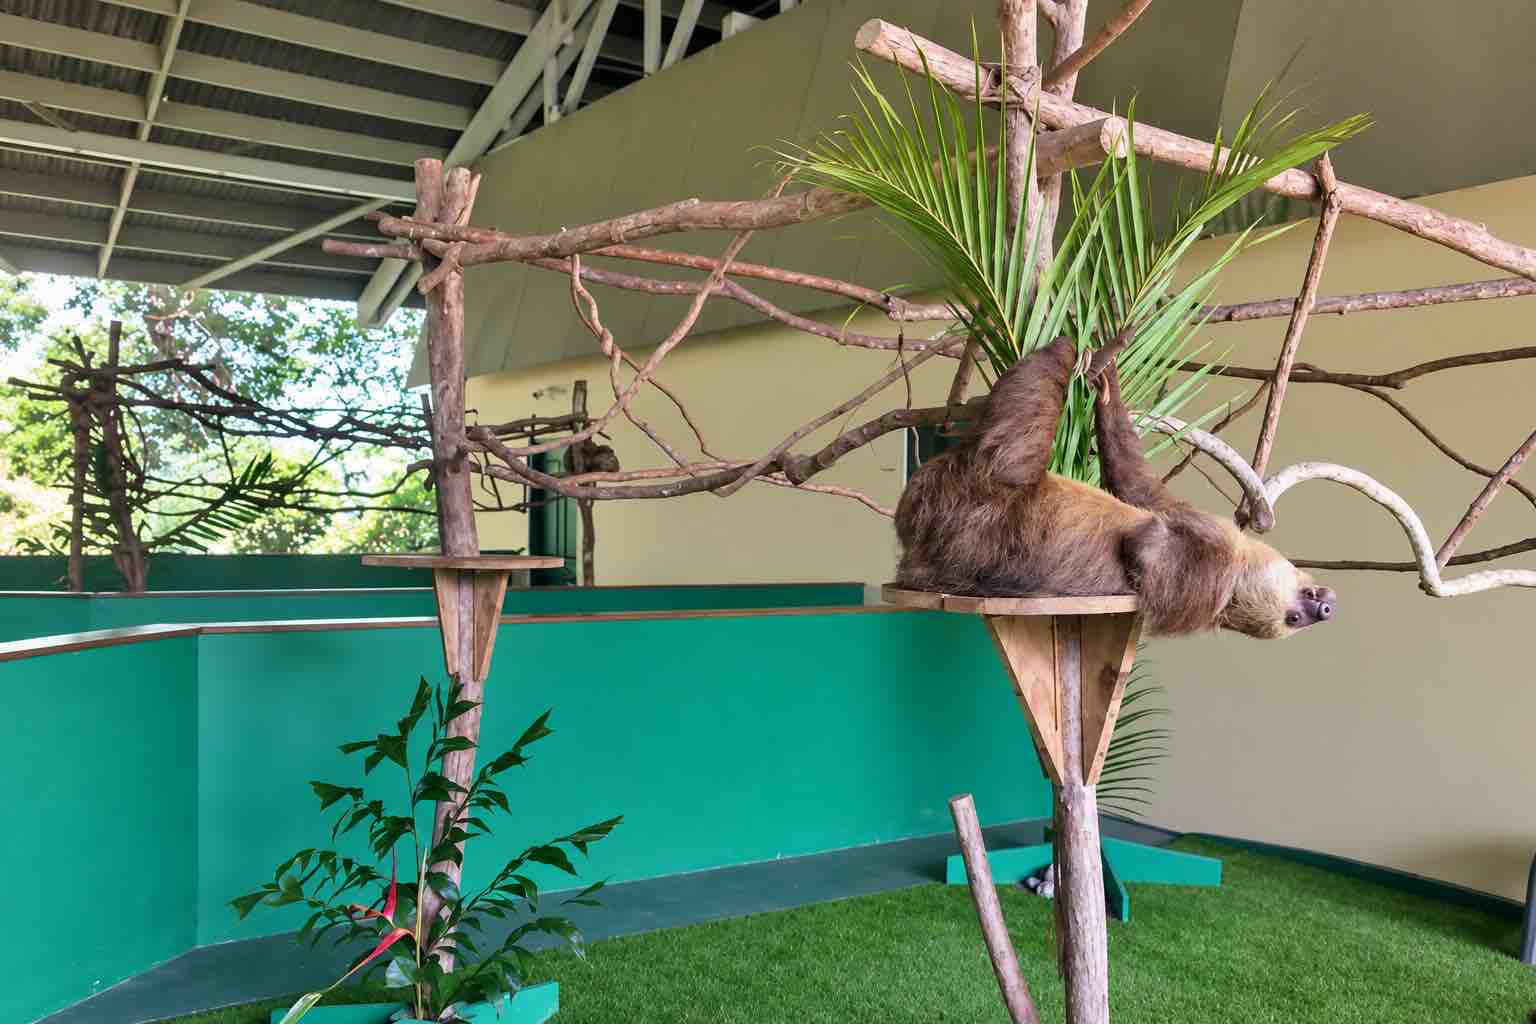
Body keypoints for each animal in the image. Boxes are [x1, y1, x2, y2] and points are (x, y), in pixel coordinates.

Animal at [894, 335, 1336, 639]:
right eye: (1300, 609)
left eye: (1292, 619)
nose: (1325, 609)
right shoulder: (1196, 518)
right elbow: (1136, 482)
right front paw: (1109, 388)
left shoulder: (1210, 565)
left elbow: (1146, 553)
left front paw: (1146, 539)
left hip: (987, 493)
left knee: (1016, 428)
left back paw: (1064, 350)